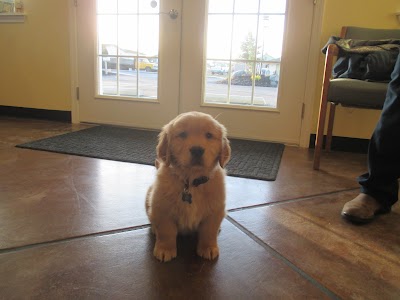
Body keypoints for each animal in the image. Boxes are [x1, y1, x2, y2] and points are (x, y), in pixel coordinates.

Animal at [145, 111, 230, 262]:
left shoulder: (215, 210)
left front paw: (208, 247)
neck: (191, 181)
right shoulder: (162, 209)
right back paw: (154, 229)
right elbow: (166, 232)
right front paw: (165, 249)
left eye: (209, 135)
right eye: (182, 134)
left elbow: (209, 231)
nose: (197, 150)